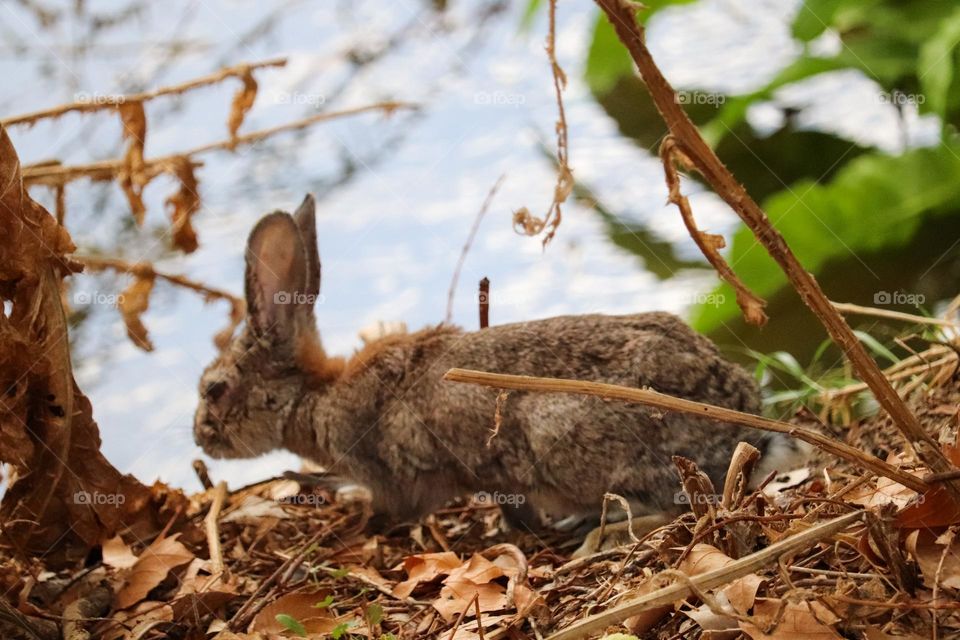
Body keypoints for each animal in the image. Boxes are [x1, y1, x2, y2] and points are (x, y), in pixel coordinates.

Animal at [195, 194, 808, 528]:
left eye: (214, 389)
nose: (201, 439)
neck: (311, 397)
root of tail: (742, 426)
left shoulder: (387, 476)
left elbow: (387, 502)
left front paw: (309, 479)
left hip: (559, 434)